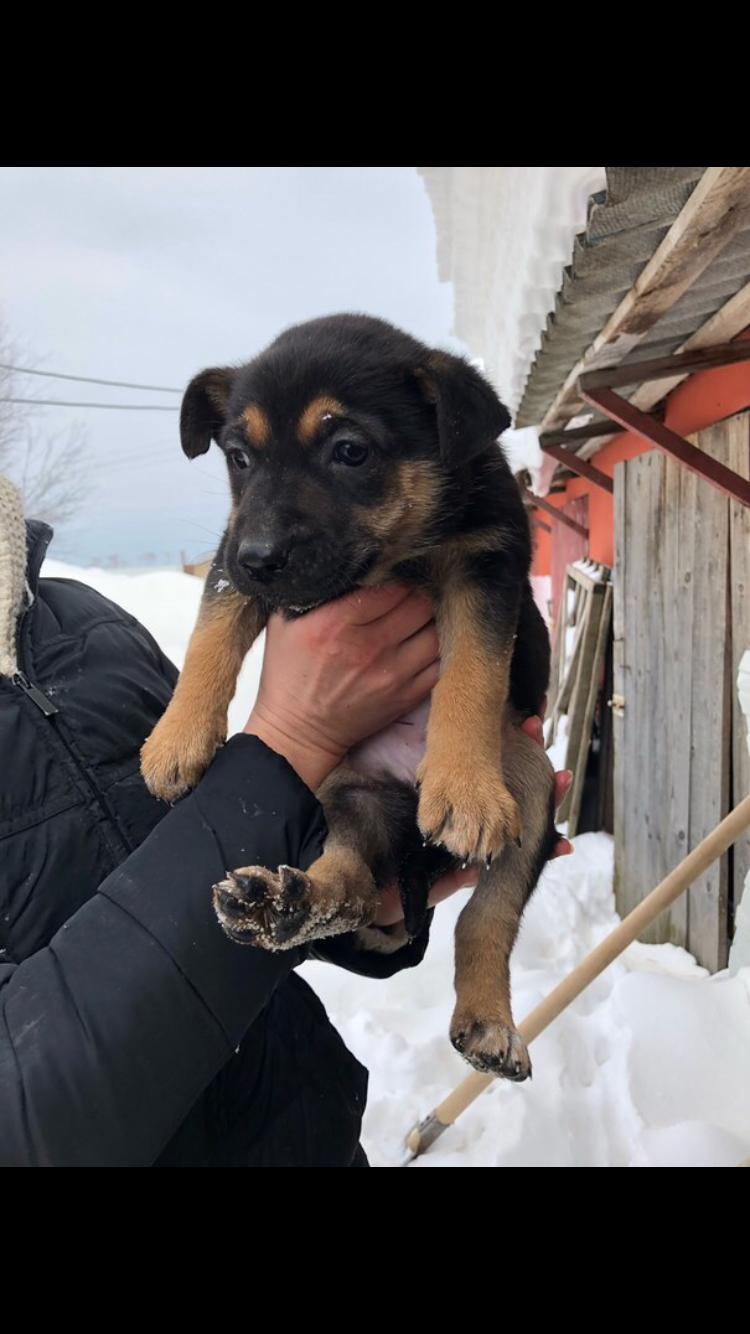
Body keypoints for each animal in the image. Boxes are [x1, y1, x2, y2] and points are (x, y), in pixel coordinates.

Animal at [141, 314, 555, 1083]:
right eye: (239, 458)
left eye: (350, 451)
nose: (260, 558)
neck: (395, 557)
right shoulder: (230, 555)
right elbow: (211, 633)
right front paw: (175, 740)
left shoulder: (488, 564)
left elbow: (473, 671)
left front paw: (465, 788)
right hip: (339, 791)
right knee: (357, 887)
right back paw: (286, 900)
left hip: (535, 781)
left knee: (486, 915)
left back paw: (489, 1022)